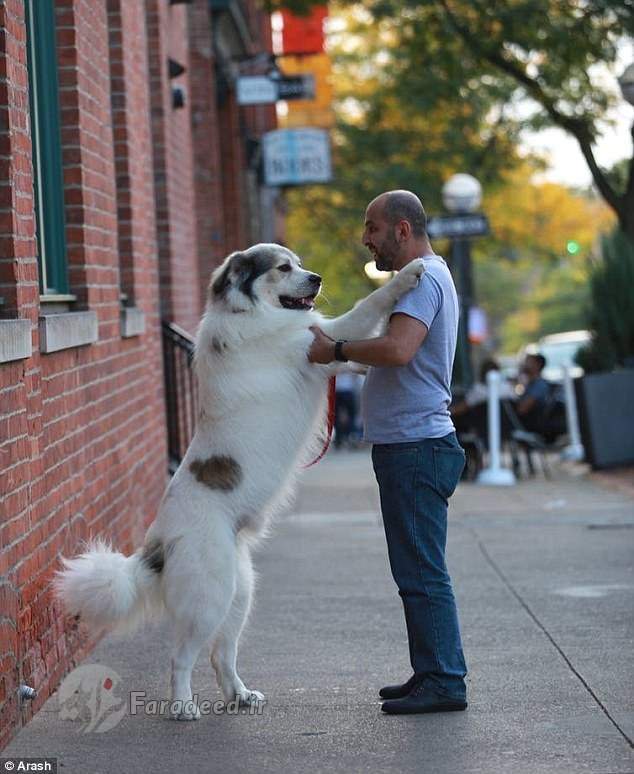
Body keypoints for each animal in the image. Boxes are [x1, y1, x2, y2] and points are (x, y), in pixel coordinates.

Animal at [53, 242, 420, 720]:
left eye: (300, 263)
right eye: (283, 268)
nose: (316, 278)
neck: (251, 311)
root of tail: (157, 542)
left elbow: (356, 344)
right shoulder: (317, 345)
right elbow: (366, 308)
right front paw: (409, 275)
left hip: (239, 592)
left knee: (220, 654)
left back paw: (239, 695)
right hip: (208, 599)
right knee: (182, 657)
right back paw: (182, 706)